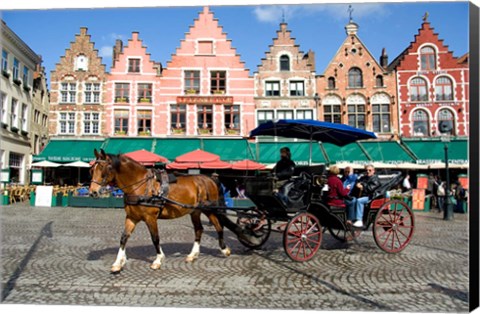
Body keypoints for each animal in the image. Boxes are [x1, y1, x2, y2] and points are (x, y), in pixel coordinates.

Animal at [91, 149, 233, 272]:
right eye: (92, 170)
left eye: (103, 168)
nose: (92, 192)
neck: (141, 185)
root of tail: (209, 178)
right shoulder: (132, 217)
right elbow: (124, 238)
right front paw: (118, 263)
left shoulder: (150, 218)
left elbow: (155, 238)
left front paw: (158, 260)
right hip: (195, 211)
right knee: (199, 229)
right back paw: (192, 255)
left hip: (209, 210)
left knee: (218, 226)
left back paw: (224, 249)